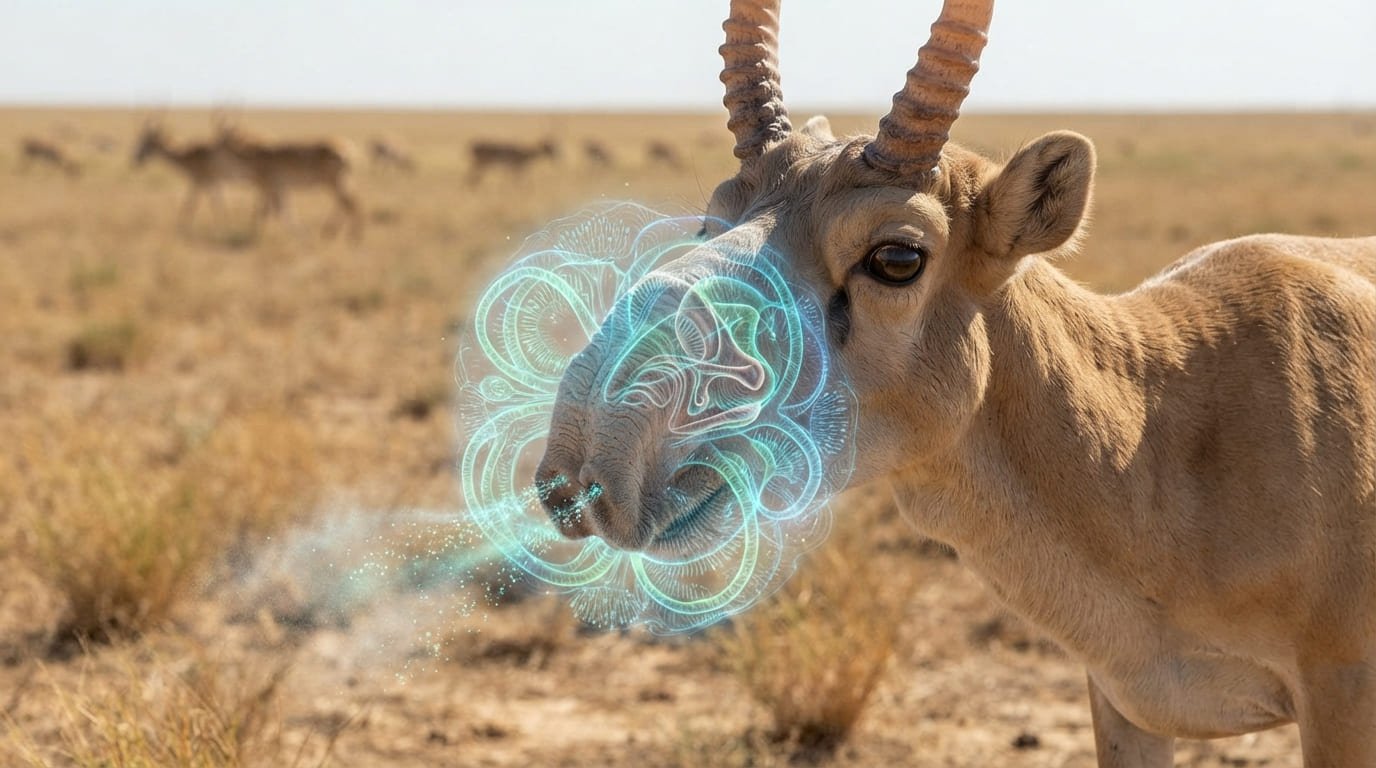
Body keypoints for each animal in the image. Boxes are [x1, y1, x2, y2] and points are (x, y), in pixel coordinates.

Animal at [217, 127, 363, 241]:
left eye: (220, 142)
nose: (214, 150)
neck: (254, 158)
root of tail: (349, 150)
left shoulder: (268, 188)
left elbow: (264, 211)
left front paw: (253, 235)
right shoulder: (279, 189)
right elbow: (280, 211)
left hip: (335, 182)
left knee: (349, 203)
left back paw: (351, 237)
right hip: (340, 182)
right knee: (347, 202)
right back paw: (330, 233)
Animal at [535, 1, 1376, 764]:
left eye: (898, 256)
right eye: (713, 222)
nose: (588, 460)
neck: (1161, 417)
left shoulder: (1340, 694)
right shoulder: (1123, 704)